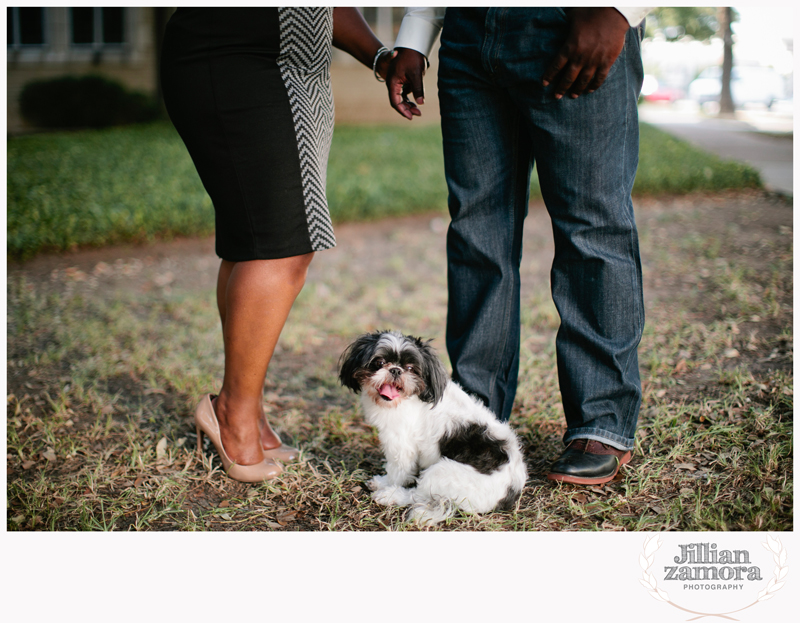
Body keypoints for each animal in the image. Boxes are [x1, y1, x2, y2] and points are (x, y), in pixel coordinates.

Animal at [340, 332, 528, 528]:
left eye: (410, 368)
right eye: (379, 362)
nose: (396, 370)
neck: (407, 399)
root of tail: (509, 491)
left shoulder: (401, 444)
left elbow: (398, 470)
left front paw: (386, 483)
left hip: (441, 473)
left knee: (417, 495)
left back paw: (391, 496)